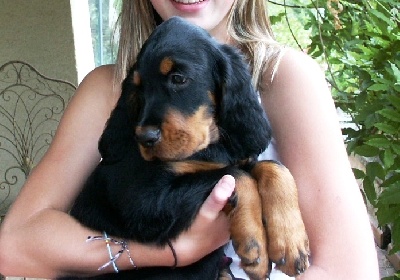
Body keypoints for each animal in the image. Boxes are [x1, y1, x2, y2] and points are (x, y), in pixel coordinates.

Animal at [64, 17, 310, 280]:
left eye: (178, 78)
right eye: (138, 88)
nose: (145, 138)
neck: (209, 146)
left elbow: (272, 167)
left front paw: (290, 243)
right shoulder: (143, 201)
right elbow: (236, 175)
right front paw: (255, 247)